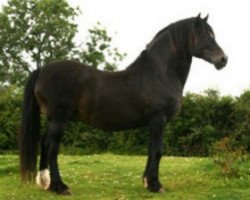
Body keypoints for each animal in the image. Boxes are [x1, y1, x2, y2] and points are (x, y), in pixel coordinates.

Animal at [19, 14, 227, 195]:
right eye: (203, 35)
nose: (223, 59)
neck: (158, 73)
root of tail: (41, 70)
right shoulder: (159, 119)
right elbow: (158, 150)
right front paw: (156, 185)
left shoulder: (153, 123)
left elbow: (151, 150)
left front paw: (147, 182)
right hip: (59, 119)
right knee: (51, 146)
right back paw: (60, 187)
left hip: (53, 119)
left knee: (44, 144)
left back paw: (45, 183)